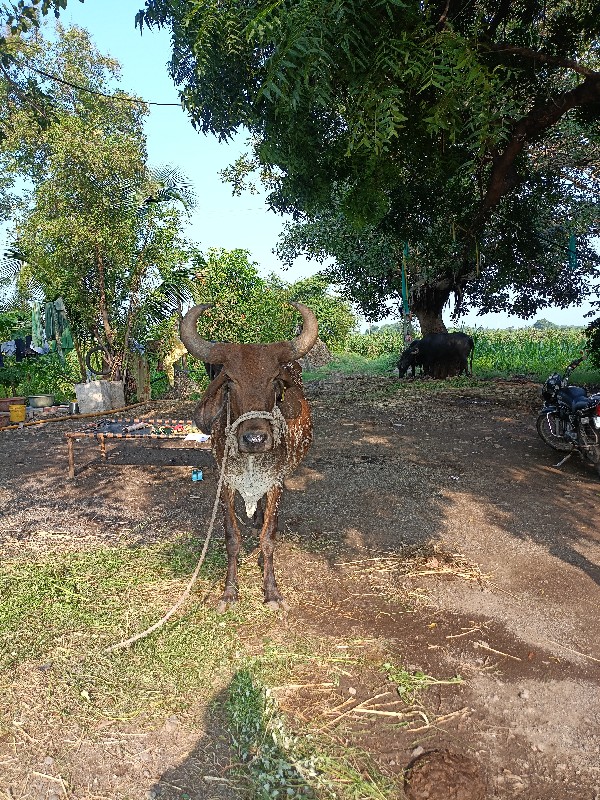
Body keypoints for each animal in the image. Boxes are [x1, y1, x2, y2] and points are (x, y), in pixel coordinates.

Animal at [179, 304, 316, 612]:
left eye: (275, 381)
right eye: (230, 381)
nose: (254, 439)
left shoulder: (276, 484)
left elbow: (268, 537)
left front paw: (272, 591)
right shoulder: (225, 483)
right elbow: (231, 537)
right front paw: (229, 592)